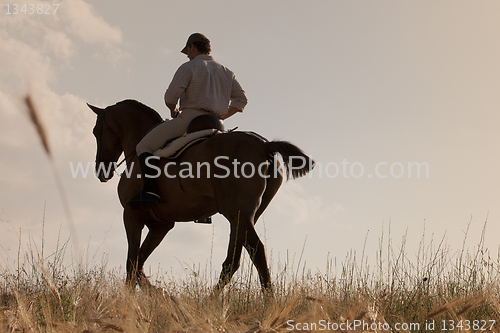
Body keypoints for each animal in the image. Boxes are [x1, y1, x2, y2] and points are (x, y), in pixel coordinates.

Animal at [86, 100, 312, 292]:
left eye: (96, 131)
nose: (101, 171)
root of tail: (264, 145)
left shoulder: (132, 216)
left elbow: (131, 262)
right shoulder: (161, 225)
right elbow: (139, 262)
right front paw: (159, 295)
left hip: (238, 214)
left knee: (256, 250)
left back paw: (268, 302)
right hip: (242, 217)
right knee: (233, 260)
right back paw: (212, 301)